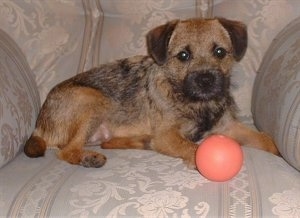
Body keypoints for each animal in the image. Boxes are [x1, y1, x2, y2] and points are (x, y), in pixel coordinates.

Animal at [23, 18, 278, 169]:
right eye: (183, 56)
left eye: (219, 52)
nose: (206, 80)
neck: (194, 102)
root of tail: (39, 125)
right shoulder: (167, 135)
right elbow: (194, 148)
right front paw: (201, 160)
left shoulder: (229, 127)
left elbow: (266, 140)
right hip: (93, 98)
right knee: (67, 150)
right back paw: (88, 157)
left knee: (105, 143)